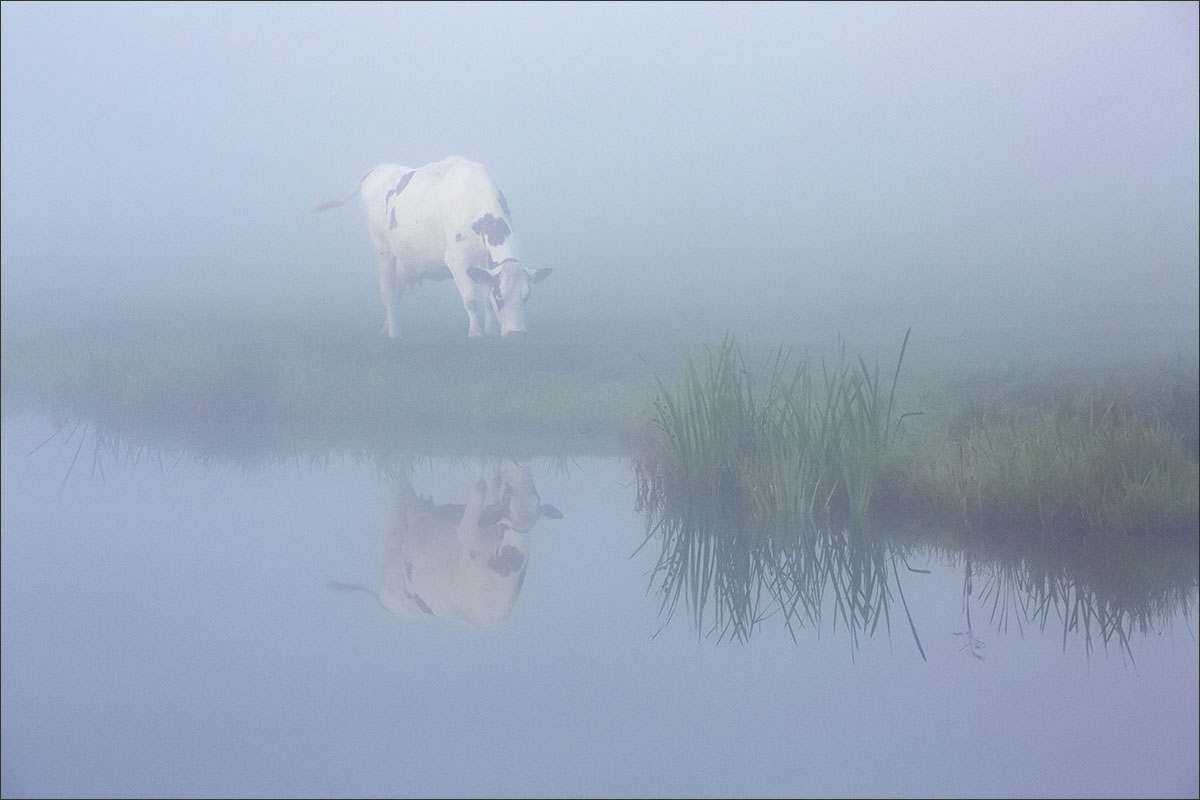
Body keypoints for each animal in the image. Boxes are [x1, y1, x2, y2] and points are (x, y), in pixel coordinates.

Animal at [312, 155, 549, 338]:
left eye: (526, 296)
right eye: (501, 298)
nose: (516, 333)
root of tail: (379, 168)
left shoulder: (484, 263)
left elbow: (485, 297)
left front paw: (490, 331)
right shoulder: (456, 260)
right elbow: (471, 300)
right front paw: (475, 333)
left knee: (394, 292)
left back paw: (386, 327)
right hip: (382, 248)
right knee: (388, 290)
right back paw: (394, 334)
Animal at [331, 460, 564, 628]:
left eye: (535, 496)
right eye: (509, 495)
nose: (522, 463)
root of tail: (382, 602)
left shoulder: (467, 530)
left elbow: (481, 485)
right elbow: (490, 482)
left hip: (399, 537)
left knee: (399, 485)